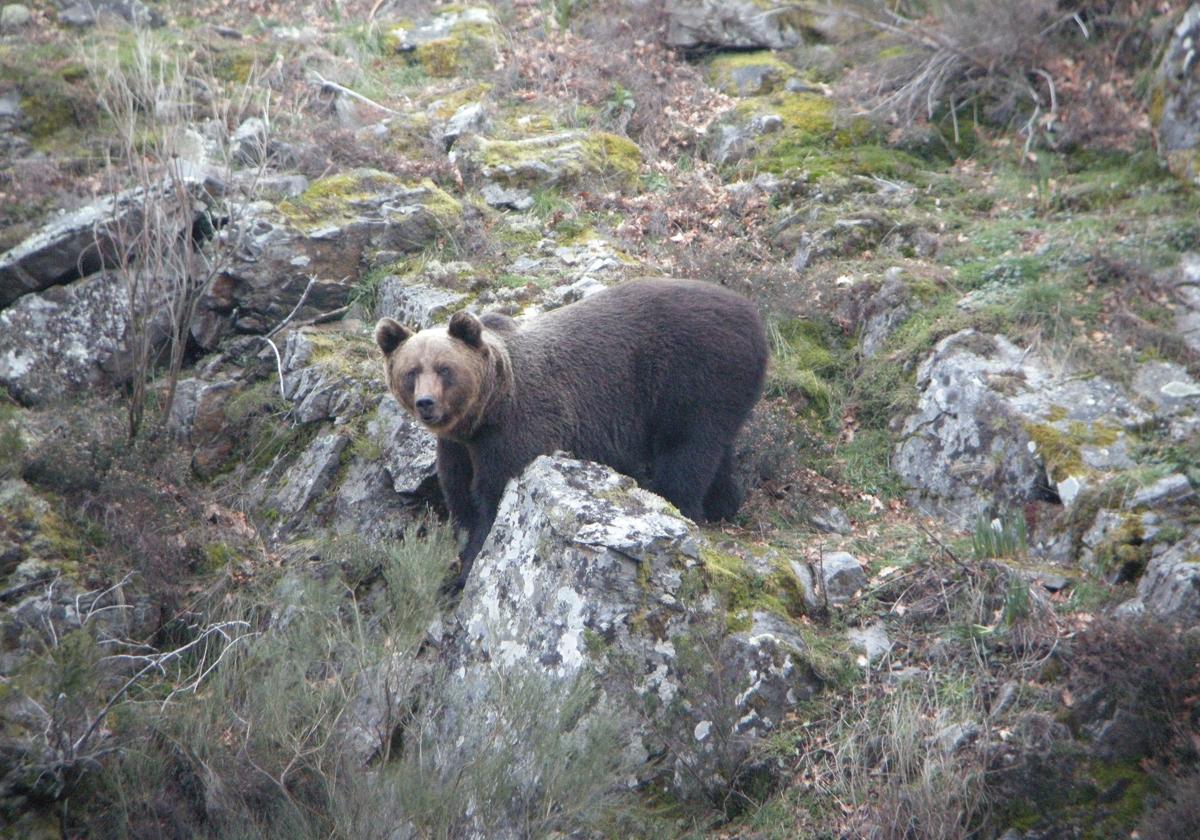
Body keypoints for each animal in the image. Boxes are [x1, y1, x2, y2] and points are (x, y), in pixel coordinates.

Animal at [374, 278, 768, 588]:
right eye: (411, 371)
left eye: (444, 368)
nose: (426, 403)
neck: (486, 411)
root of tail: (753, 313)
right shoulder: (457, 446)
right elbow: (460, 498)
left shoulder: (517, 431)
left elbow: (495, 501)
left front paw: (469, 567)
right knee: (717, 452)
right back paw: (724, 504)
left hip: (695, 377)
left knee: (686, 452)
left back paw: (681, 504)